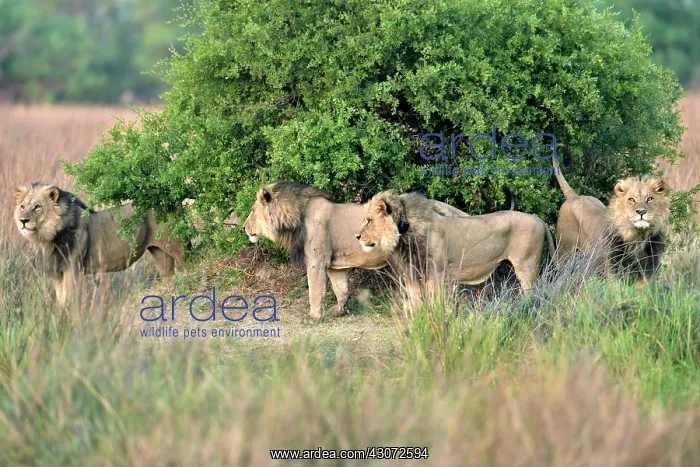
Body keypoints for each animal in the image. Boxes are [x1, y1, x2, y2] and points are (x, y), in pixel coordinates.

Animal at [14, 183, 186, 309]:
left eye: (37, 207)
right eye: (22, 207)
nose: (23, 220)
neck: (52, 235)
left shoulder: (73, 268)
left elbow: (70, 299)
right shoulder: (58, 270)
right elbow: (61, 299)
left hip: (176, 246)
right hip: (159, 252)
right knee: (168, 275)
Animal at [242, 182, 472, 323]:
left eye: (252, 211)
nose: (243, 227)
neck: (295, 216)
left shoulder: (316, 260)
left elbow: (315, 291)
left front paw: (314, 317)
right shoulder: (334, 265)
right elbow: (340, 289)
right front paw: (339, 311)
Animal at [355, 190, 555, 298]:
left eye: (369, 220)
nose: (357, 236)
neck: (405, 232)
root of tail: (539, 220)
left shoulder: (435, 275)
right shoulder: (414, 272)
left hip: (527, 267)